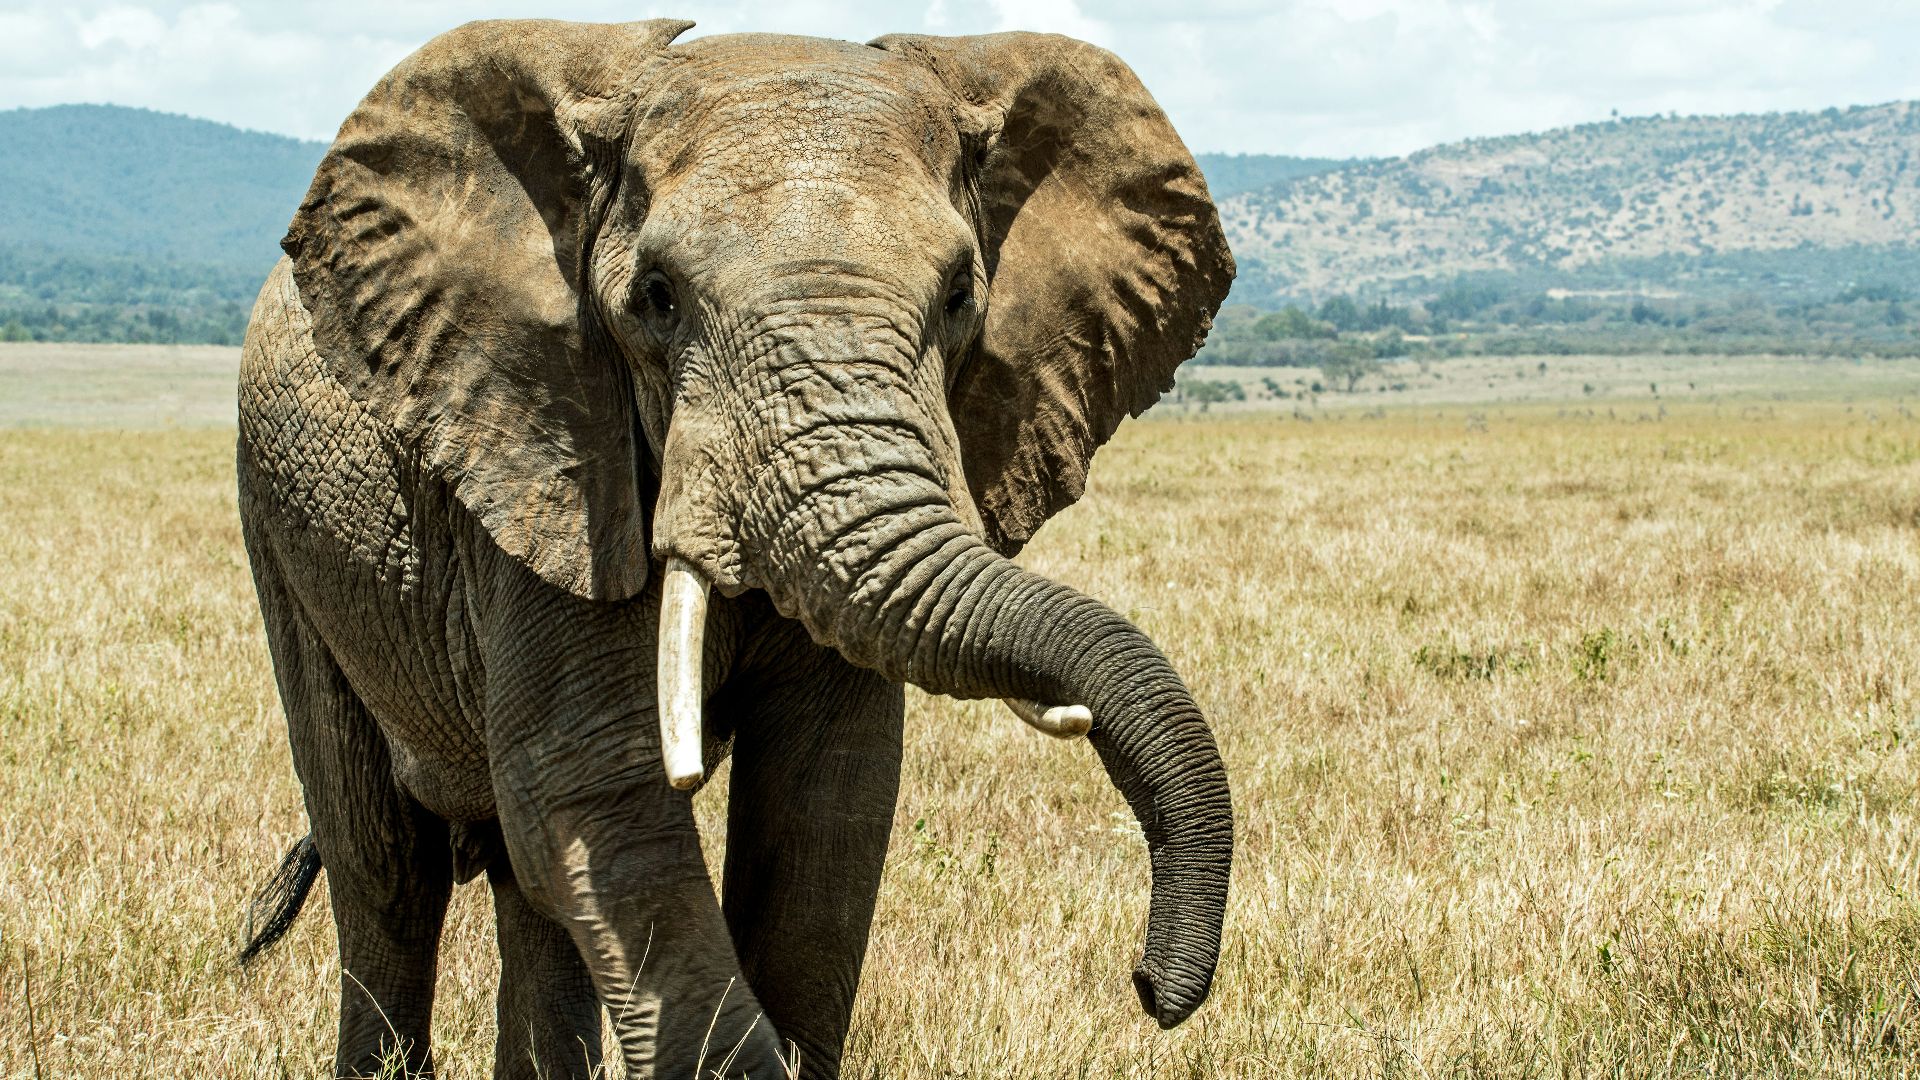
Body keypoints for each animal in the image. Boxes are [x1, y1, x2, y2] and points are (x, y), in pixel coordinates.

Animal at [235, 18, 1235, 1080]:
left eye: (962, 295)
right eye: (657, 298)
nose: (1149, 985)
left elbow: (826, 805)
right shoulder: (549, 460)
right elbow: (598, 796)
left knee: (518, 886)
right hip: (284, 533)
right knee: (385, 864)